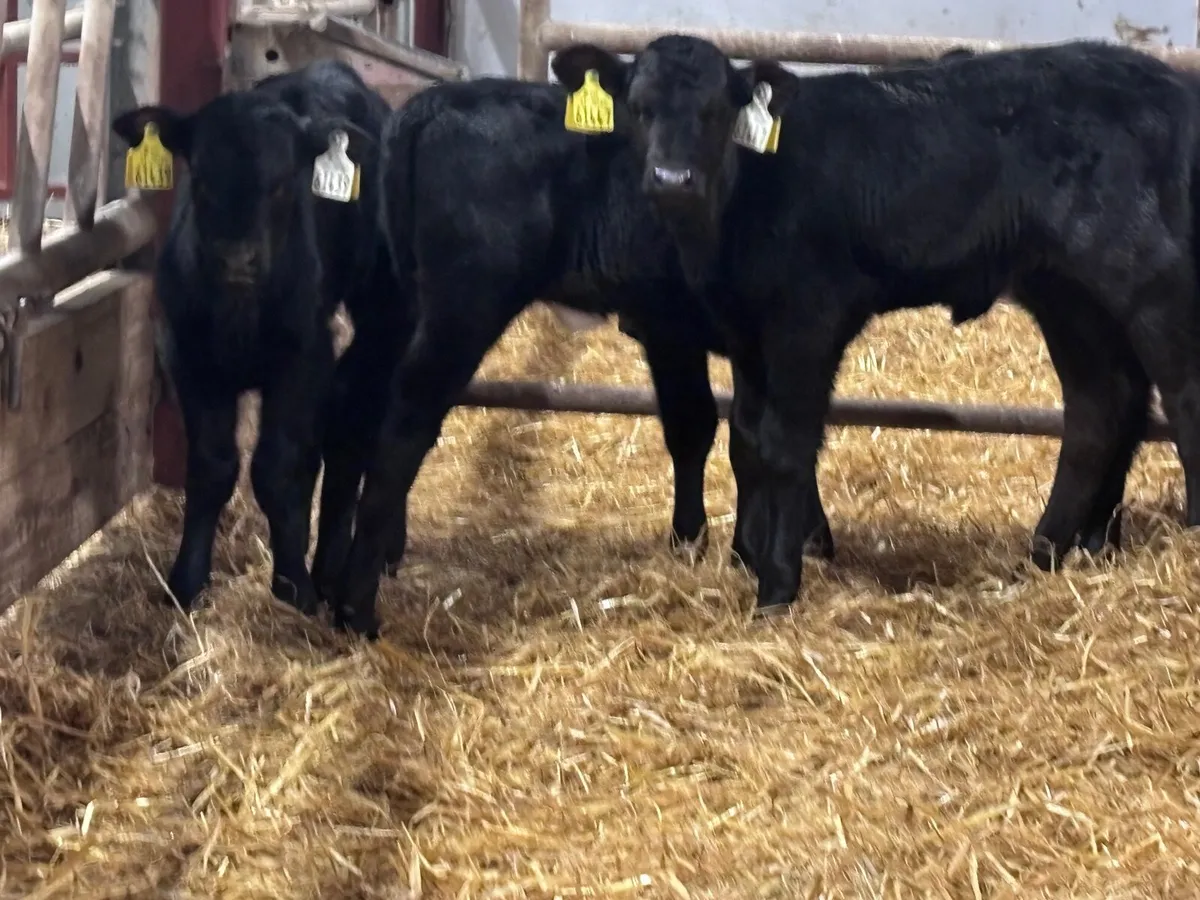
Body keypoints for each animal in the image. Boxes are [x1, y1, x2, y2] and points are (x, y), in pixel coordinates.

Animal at [111, 59, 409, 617]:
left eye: (283, 183)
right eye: (202, 180)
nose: (236, 258)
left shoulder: (302, 357)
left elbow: (275, 467)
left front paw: (293, 583)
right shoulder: (188, 356)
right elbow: (213, 466)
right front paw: (186, 580)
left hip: (384, 309)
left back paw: (373, 554)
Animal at [546, 35, 1200, 612]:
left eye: (714, 112)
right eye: (639, 108)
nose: (672, 179)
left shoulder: (807, 322)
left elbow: (785, 447)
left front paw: (777, 585)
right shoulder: (748, 336)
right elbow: (748, 440)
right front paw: (751, 558)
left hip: (1151, 275)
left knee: (1179, 397)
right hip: (1067, 292)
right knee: (1102, 405)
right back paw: (1049, 553)